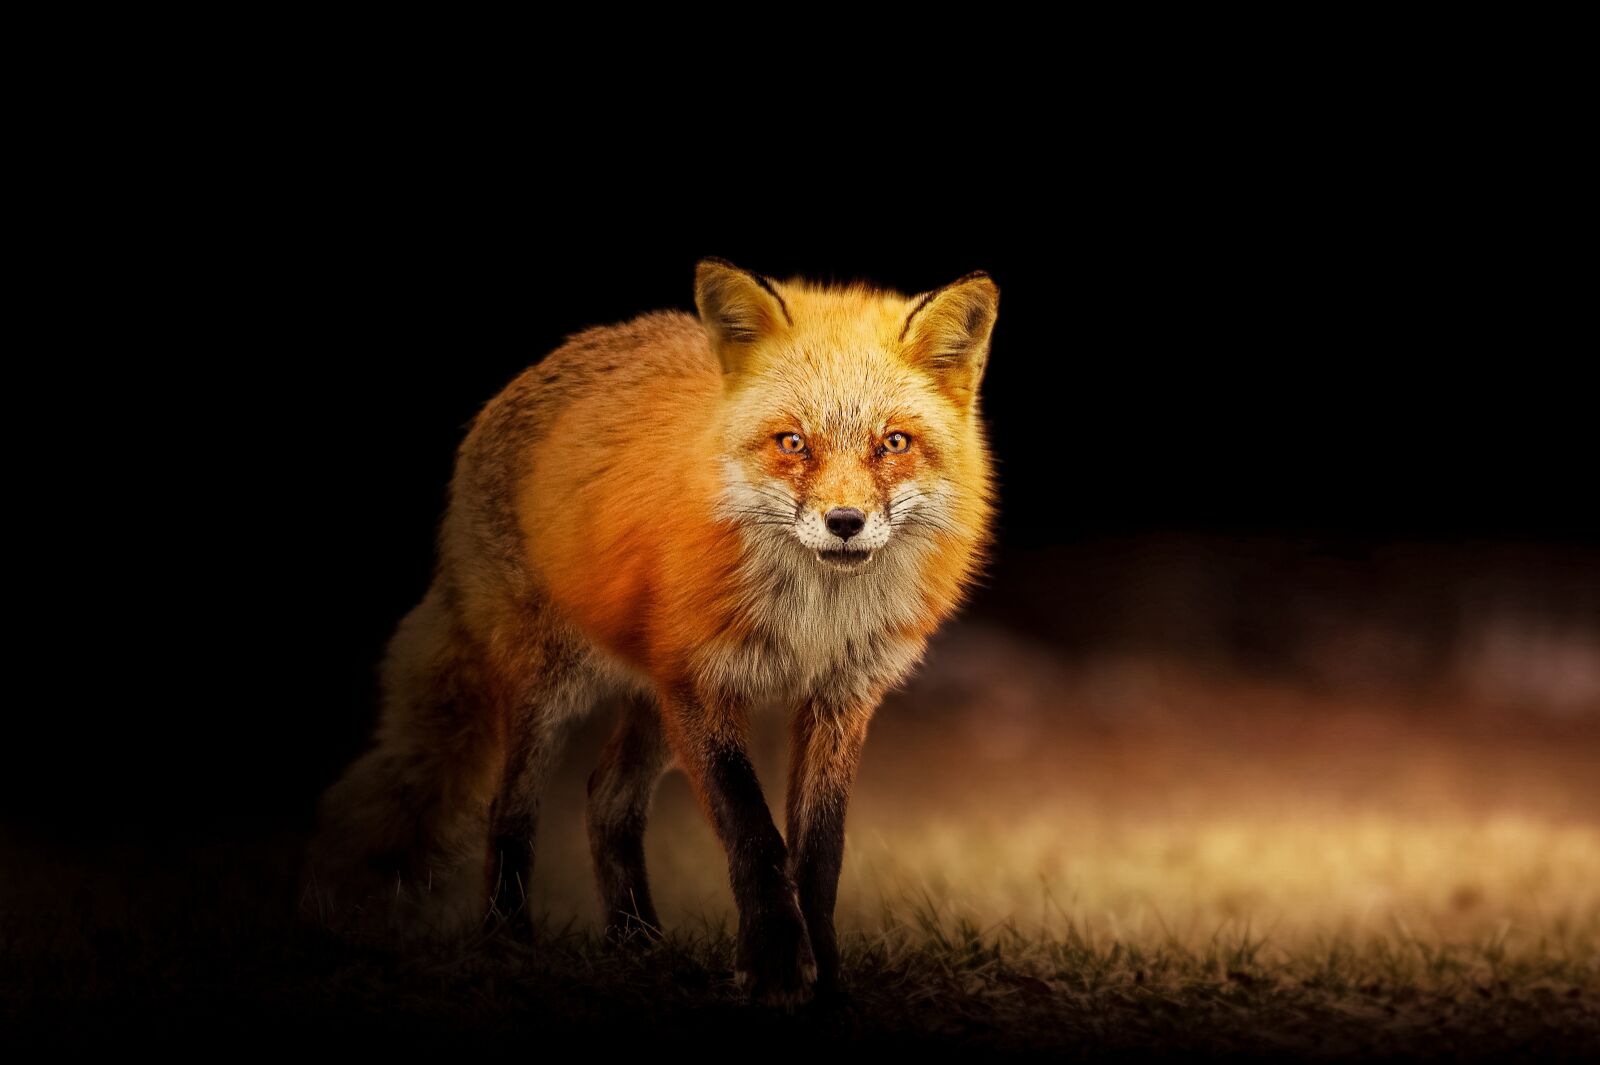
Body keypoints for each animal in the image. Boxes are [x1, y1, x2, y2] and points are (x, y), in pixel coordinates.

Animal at [299, 257, 999, 1005]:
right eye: (793, 443)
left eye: (892, 443)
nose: (845, 522)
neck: (812, 617)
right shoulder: (702, 683)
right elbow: (755, 836)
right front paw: (777, 967)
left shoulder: (840, 698)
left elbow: (819, 853)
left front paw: (827, 977)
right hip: (556, 686)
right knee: (508, 809)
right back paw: (506, 939)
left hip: (652, 702)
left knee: (605, 800)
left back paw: (637, 943)